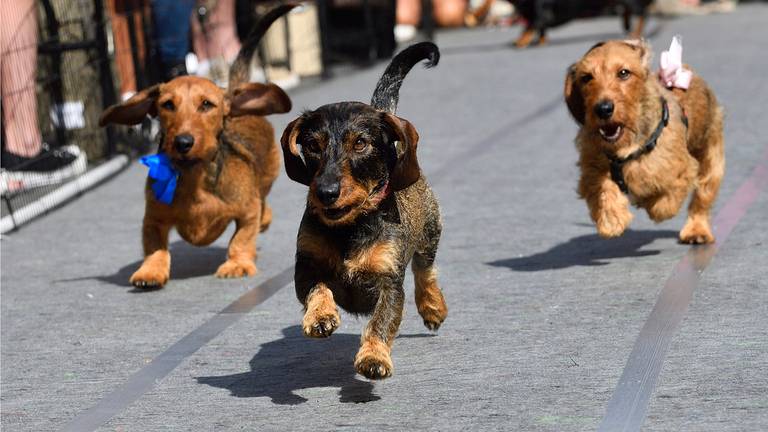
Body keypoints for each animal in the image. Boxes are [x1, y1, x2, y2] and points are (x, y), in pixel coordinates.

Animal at [100, 4, 292, 286]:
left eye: (207, 105)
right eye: (168, 104)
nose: (183, 142)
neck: (193, 176)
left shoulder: (247, 212)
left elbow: (242, 238)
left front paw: (237, 264)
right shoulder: (153, 217)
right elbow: (154, 245)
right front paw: (151, 270)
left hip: (266, 179)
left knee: (264, 204)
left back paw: (264, 220)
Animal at [280, 43, 448, 378]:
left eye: (360, 144)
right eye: (313, 145)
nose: (326, 192)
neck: (351, 227)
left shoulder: (389, 281)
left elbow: (381, 322)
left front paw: (374, 356)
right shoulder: (305, 266)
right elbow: (317, 289)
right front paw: (320, 316)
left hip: (430, 231)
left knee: (425, 270)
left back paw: (433, 306)